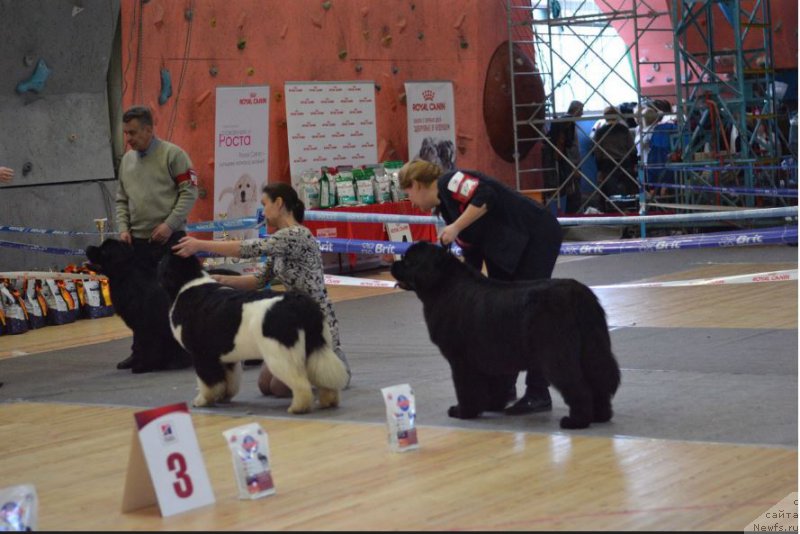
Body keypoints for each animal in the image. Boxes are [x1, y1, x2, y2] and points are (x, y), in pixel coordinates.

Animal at [84, 241, 192, 374]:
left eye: (103, 251)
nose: (88, 247)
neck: (127, 277)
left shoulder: (146, 325)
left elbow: (146, 345)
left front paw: (142, 367)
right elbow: (139, 346)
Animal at [158, 252, 348, 414]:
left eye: (162, 261)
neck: (188, 283)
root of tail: (298, 302)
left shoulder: (202, 355)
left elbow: (208, 382)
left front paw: (202, 401)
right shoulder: (224, 356)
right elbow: (229, 380)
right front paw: (223, 397)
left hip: (280, 354)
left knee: (300, 382)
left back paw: (298, 407)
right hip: (316, 346)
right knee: (324, 375)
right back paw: (328, 400)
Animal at [390, 243, 620, 432]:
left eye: (408, 260)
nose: (394, 263)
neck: (443, 285)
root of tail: (578, 293)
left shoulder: (461, 360)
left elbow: (465, 387)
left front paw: (463, 412)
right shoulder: (489, 355)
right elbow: (493, 385)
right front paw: (490, 405)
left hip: (557, 355)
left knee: (579, 386)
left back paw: (576, 422)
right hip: (592, 349)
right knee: (599, 381)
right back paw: (600, 416)